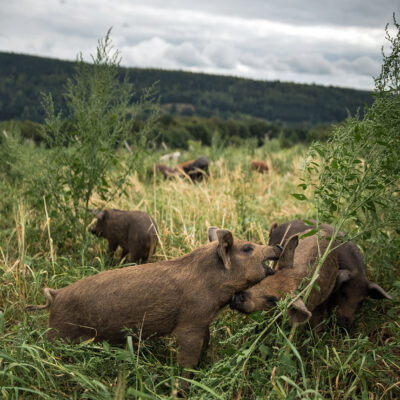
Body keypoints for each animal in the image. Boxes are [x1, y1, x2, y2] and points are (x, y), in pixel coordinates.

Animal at [25, 228, 282, 378]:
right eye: (247, 247)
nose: (278, 246)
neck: (211, 283)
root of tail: (55, 295)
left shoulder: (203, 321)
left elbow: (206, 344)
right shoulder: (189, 323)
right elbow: (188, 359)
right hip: (58, 334)